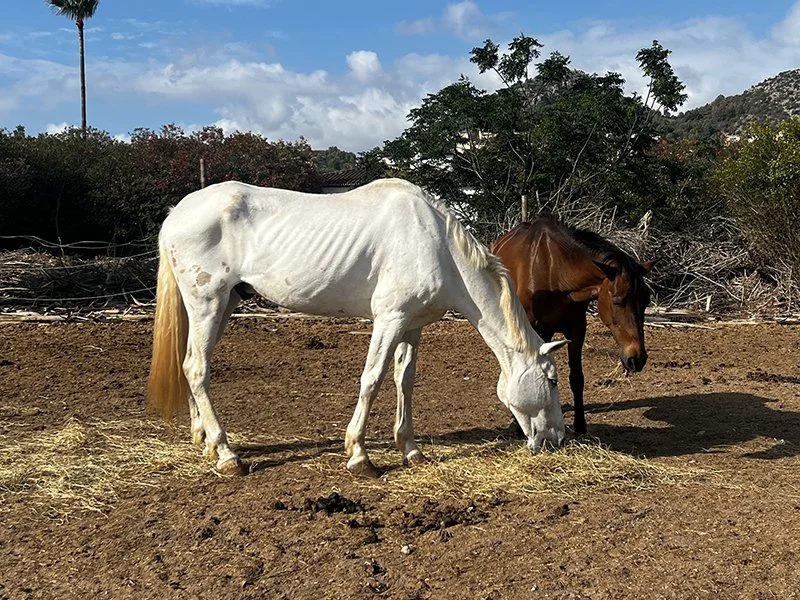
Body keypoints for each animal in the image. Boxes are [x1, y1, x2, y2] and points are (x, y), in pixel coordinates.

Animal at [147, 178, 569, 477]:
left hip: (224, 305)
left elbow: (404, 380)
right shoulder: (389, 319)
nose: (557, 439)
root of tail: (175, 214)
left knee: (190, 363)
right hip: (208, 303)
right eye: (551, 380)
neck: (436, 245)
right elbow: (373, 378)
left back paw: (204, 441)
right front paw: (359, 456)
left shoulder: (411, 326)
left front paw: (411, 450)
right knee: (197, 368)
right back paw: (227, 455)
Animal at [490, 218, 654, 435]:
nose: (637, 359)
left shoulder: (576, 329)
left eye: (646, 300)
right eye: (618, 300)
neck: (555, 272)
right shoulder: (534, 329)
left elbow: (577, 378)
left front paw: (580, 425)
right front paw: (521, 426)